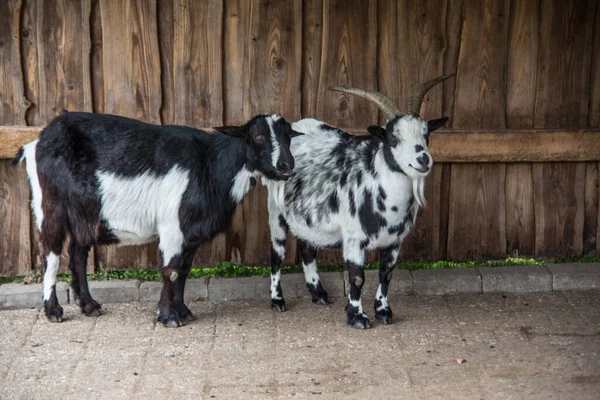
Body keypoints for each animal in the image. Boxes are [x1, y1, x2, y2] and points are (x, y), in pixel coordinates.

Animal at [15, 111, 300, 326]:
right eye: (258, 135)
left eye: (288, 135)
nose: (286, 166)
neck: (209, 166)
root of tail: (36, 141)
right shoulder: (172, 225)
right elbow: (171, 271)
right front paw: (168, 316)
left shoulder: (190, 231)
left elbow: (184, 270)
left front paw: (183, 310)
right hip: (49, 205)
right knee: (51, 253)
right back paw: (53, 311)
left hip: (84, 213)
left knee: (77, 254)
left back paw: (89, 305)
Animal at [264, 74, 454, 328]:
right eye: (392, 137)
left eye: (426, 134)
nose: (423, 159)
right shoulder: (354, 238)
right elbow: (357, 278)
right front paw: (357, 316)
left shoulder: (395, 241)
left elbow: (386, 274)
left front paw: (383, 311)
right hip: (276, 209)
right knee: (277, 253)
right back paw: (277, 300)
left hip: (309, 218)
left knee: (307, 248)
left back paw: (318, 293)